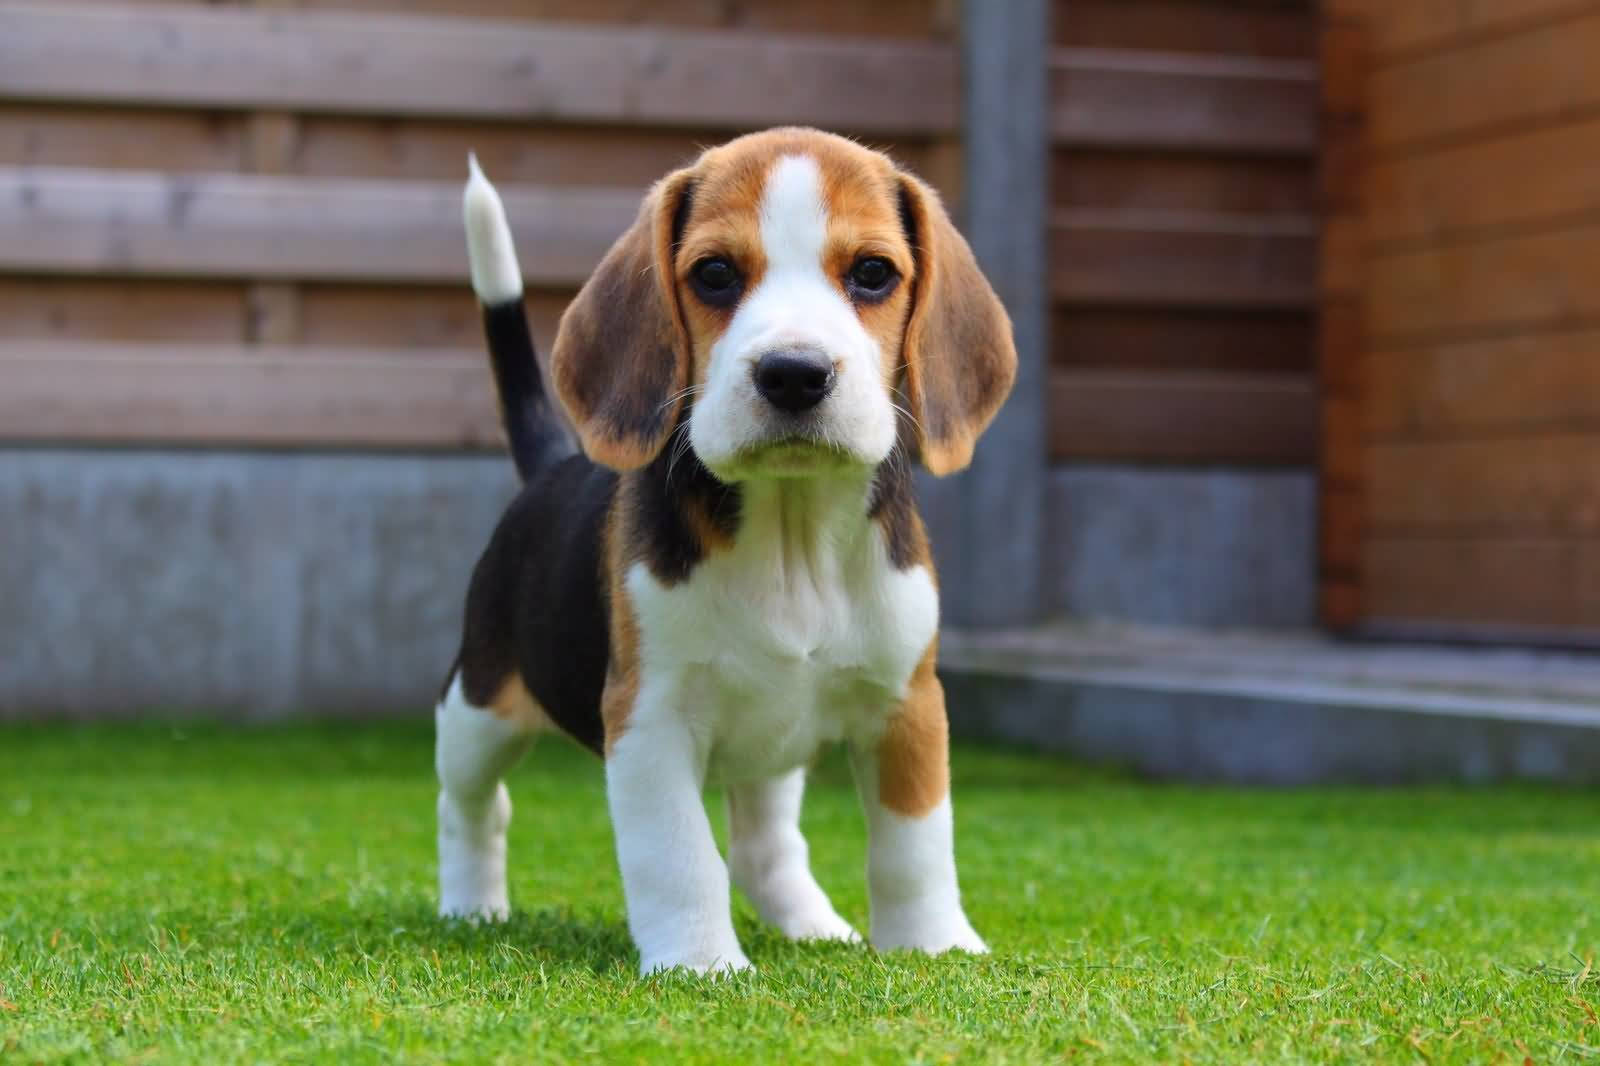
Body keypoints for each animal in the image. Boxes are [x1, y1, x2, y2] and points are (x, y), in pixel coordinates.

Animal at [432, 126, 1017, 973]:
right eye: (713, 274)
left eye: (873, 273)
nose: (795, 373)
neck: (790, 532)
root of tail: (552, 466)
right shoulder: (648, 718)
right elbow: (679, 852)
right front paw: (699, 963)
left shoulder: (908, 703)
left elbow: (914, 844)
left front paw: (933, 945)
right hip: (480, 706)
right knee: (473, 803)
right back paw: (471, 906)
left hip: (775, 742)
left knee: (764, 846)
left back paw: (814, 925)